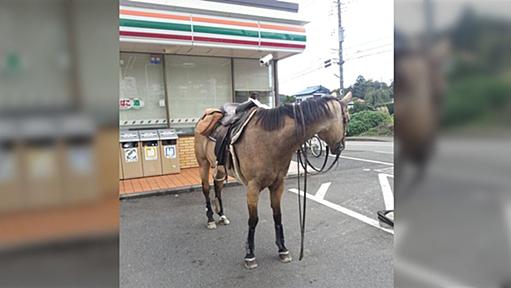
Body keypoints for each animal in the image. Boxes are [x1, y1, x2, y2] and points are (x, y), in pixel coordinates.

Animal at [193, 91, 352, 268]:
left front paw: (282, 249)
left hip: (219, 167)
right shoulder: (252, 188)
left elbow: (277, 216)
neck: (271, 141)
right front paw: (250, 254)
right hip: (203, 163)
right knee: (206, 189)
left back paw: (222, 215)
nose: (340, 147)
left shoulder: (278, 185)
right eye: (347, 119)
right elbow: (253, 220)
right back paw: (210, 219)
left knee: (218, 187)